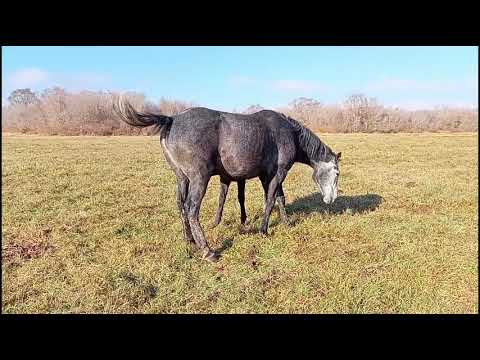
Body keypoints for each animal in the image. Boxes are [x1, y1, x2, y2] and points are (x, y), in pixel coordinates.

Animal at [112, 98, 340, 262]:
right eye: (337, 173)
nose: (331, 199)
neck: (288, 133)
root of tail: (172, 119)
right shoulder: (278, 173)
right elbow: (270, 201)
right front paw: (263, 230)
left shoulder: (266, 176)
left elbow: (278, 198)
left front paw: (286, 223)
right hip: (199, 178)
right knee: (192, 209)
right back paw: (208, 251)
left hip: (181, 178)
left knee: (181, 206)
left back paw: (189, 240)